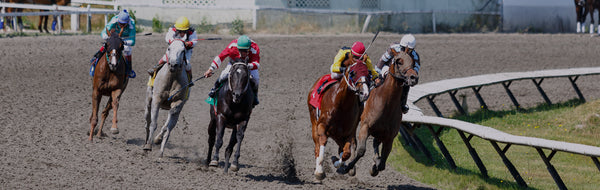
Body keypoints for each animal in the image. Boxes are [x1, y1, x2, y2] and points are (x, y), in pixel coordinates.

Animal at [308, 55, 372, 183]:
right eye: (353, 73)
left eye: (368, 73)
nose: (365, 92)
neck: (342, 105)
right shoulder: (322, 126)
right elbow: (322, 142)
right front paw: (320, 172)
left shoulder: (348, 133)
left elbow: (346, 153)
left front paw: (337, 163)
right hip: (314, 122)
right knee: (317, 146)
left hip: (338, 134)